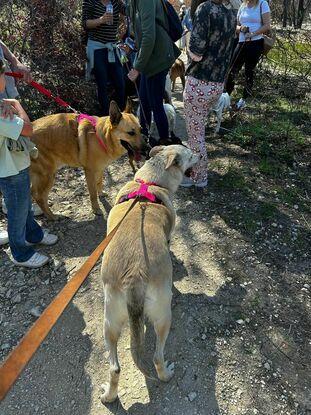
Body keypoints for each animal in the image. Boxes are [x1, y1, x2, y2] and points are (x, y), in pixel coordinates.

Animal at [100, 145, 197, 404]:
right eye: (190, 154)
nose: (202, 155)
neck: (150, 182)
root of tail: (134, 275)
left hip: (109, 322)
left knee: (115, 368)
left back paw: (108, 396)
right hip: (164, 317)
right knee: (156, 357)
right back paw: (166, 374)